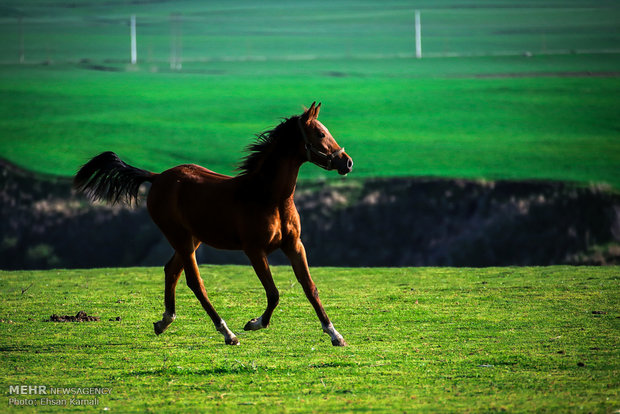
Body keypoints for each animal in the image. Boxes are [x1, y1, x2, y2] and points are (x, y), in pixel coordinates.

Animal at [73, 102, 354, 346]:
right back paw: (227, 333)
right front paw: (254, 323)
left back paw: (164, 322)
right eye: (320, 133)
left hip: (192, 238)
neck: (268, 196)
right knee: (194, 282)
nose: (347, 162)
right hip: (180, 238)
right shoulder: (254, 250)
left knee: (171, 271)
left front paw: (335, 335)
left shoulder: (294, 245)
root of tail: (157, 177)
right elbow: (273, 293)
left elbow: (310, 288)